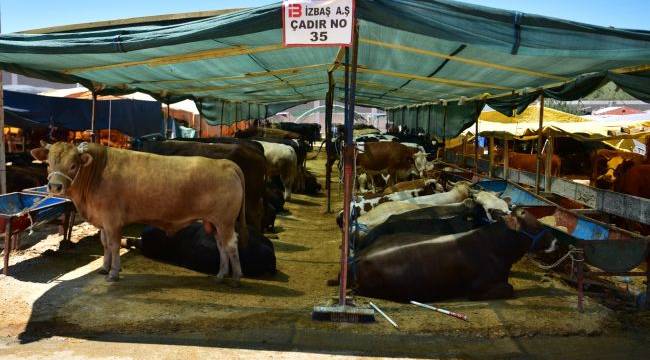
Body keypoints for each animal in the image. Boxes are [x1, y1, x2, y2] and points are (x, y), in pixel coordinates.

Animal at [31, 142, 247, 286]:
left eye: (73, 165)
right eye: (48, 164)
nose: (55, 186)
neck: (97, 171)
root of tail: (226, 163)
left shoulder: (113, 220)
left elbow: (114, 245)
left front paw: (113, 273)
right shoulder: (103, 221)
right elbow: (104, 243)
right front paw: (104, 268)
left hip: (225, 221)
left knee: (231, 244)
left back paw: (236, 278)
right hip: (214, 222)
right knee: (221, 245)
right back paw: (221, 275)